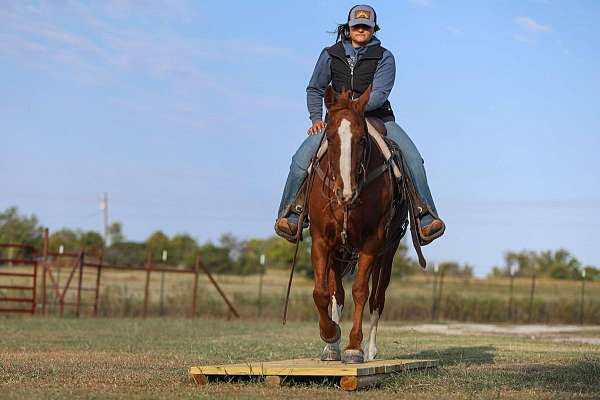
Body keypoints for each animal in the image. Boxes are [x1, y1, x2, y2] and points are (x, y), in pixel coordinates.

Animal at [308, 84, 410, 362]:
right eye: (330, 137)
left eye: (362, 139)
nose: (345, 192)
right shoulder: (321, 240)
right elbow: (322, 292)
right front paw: (330, 334)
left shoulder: (371, 243)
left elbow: (361, 291)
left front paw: (354, 346)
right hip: (340, 252)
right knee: (337, 294)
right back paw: (332, 348)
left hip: (387, 251)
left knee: (377, 298)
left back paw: (371, 350)